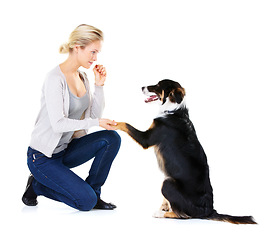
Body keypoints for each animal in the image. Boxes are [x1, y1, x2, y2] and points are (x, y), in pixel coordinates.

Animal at [115, 79, 258, 224]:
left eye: (158, 86)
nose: (141, 87)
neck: (172, 110)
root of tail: (209, 210)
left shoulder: (146, 139)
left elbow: (125, 123)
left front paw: (112, 122)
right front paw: (164, 205)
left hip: (167, 183)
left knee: (183, 215)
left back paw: (161, 213)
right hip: (168, 178)